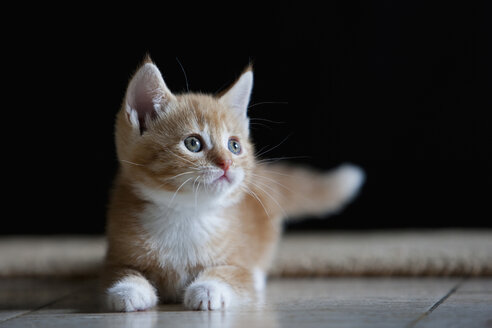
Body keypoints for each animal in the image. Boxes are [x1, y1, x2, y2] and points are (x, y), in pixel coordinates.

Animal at [104, 57, 366, 312]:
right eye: (193, 143)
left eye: (234, 146)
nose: (227, 163)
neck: (186, 212)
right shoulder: (116, 255)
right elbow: (119, 272)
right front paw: (128, 290)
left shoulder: (239, 262)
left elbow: (233, 274)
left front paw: (209, 288)